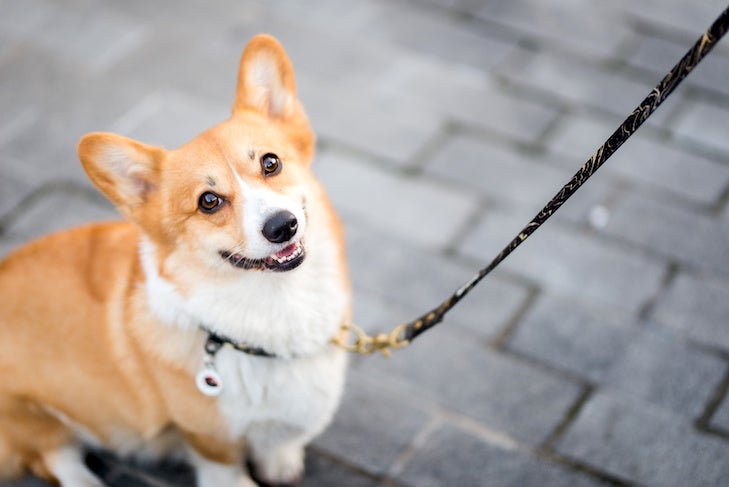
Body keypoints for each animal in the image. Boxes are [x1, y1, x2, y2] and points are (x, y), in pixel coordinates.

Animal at [0, 35, 350, 487]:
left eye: (270, 163)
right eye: (208, 201)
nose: (281, 226)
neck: (277, 308)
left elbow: (280, 442)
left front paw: (282, 465)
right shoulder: (211, 442)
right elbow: (230, 472)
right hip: (31, 416)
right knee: (54, 457)